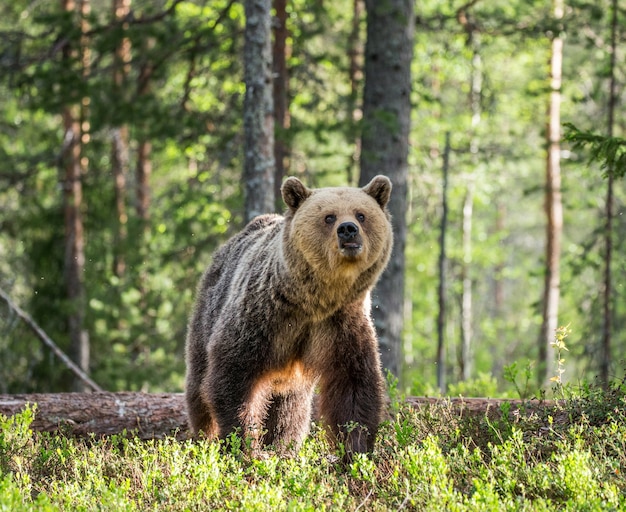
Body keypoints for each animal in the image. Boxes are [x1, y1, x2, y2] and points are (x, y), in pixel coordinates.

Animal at [183, 176, 392, 456]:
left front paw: (354, 450)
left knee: (290, 409)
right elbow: (233, 375)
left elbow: (354, 385)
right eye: (329, 217)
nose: (348, 229)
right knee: (199, 387)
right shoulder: (264, 317)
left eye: (361, 214)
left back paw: (283, 446)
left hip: (291, 378)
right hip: (208, 314)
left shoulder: (342, 324)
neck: (314, 300)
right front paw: (245, 444)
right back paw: (205, 439)